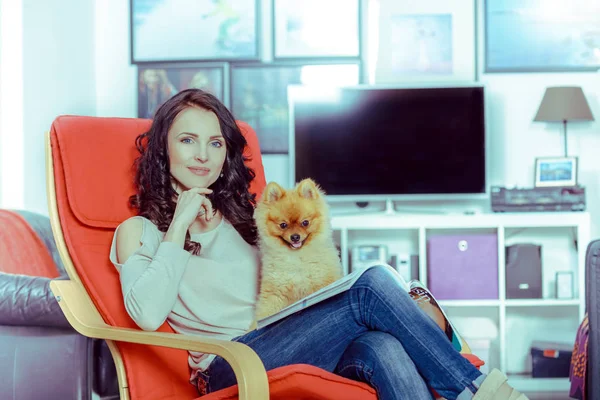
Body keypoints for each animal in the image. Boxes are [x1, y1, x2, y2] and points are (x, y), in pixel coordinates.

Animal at [253, 180, 342, 320]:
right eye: (283, 225)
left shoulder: (321, 283)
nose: (295, 237)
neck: (297, 256)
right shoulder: (275, 292)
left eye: (305, 222)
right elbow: (265, 313)